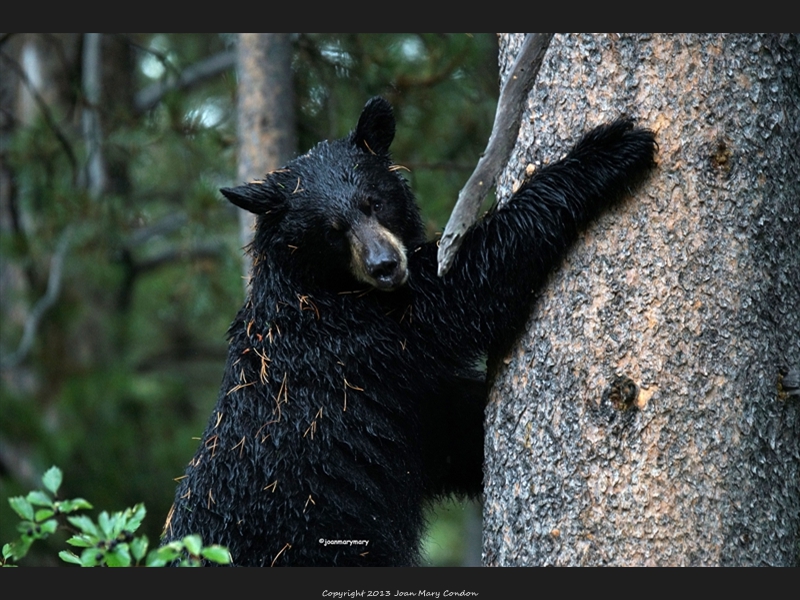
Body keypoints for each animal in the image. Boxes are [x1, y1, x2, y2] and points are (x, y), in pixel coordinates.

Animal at [162, 96, 656, 564]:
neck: (318, 287)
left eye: (374, 201)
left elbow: (459, 433)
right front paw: (609, 150)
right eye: (332, 230)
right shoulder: (363, 339)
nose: (385, 265)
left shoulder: (414, 405)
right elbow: (466, 285)